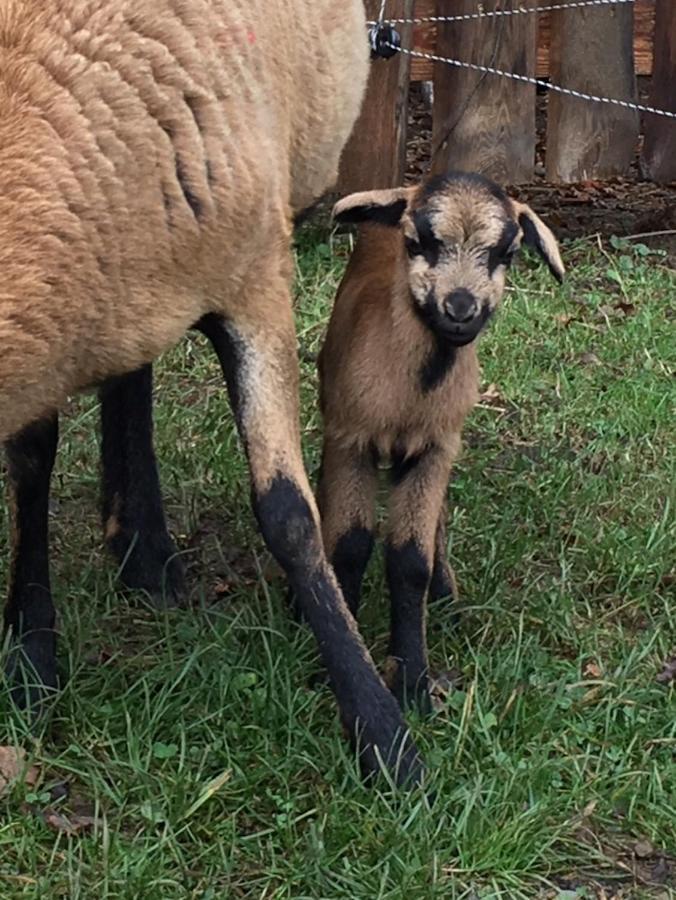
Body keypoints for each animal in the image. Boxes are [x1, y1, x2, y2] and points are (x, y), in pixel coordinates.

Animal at [316, 172, 564, 712]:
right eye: (417, 243)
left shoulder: (434, 449)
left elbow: (411, 560)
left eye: (507, 253)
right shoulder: (350, 440)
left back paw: (446, 597)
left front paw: (412, 681)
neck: (411, 394)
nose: (460, 309)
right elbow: (350, 544)